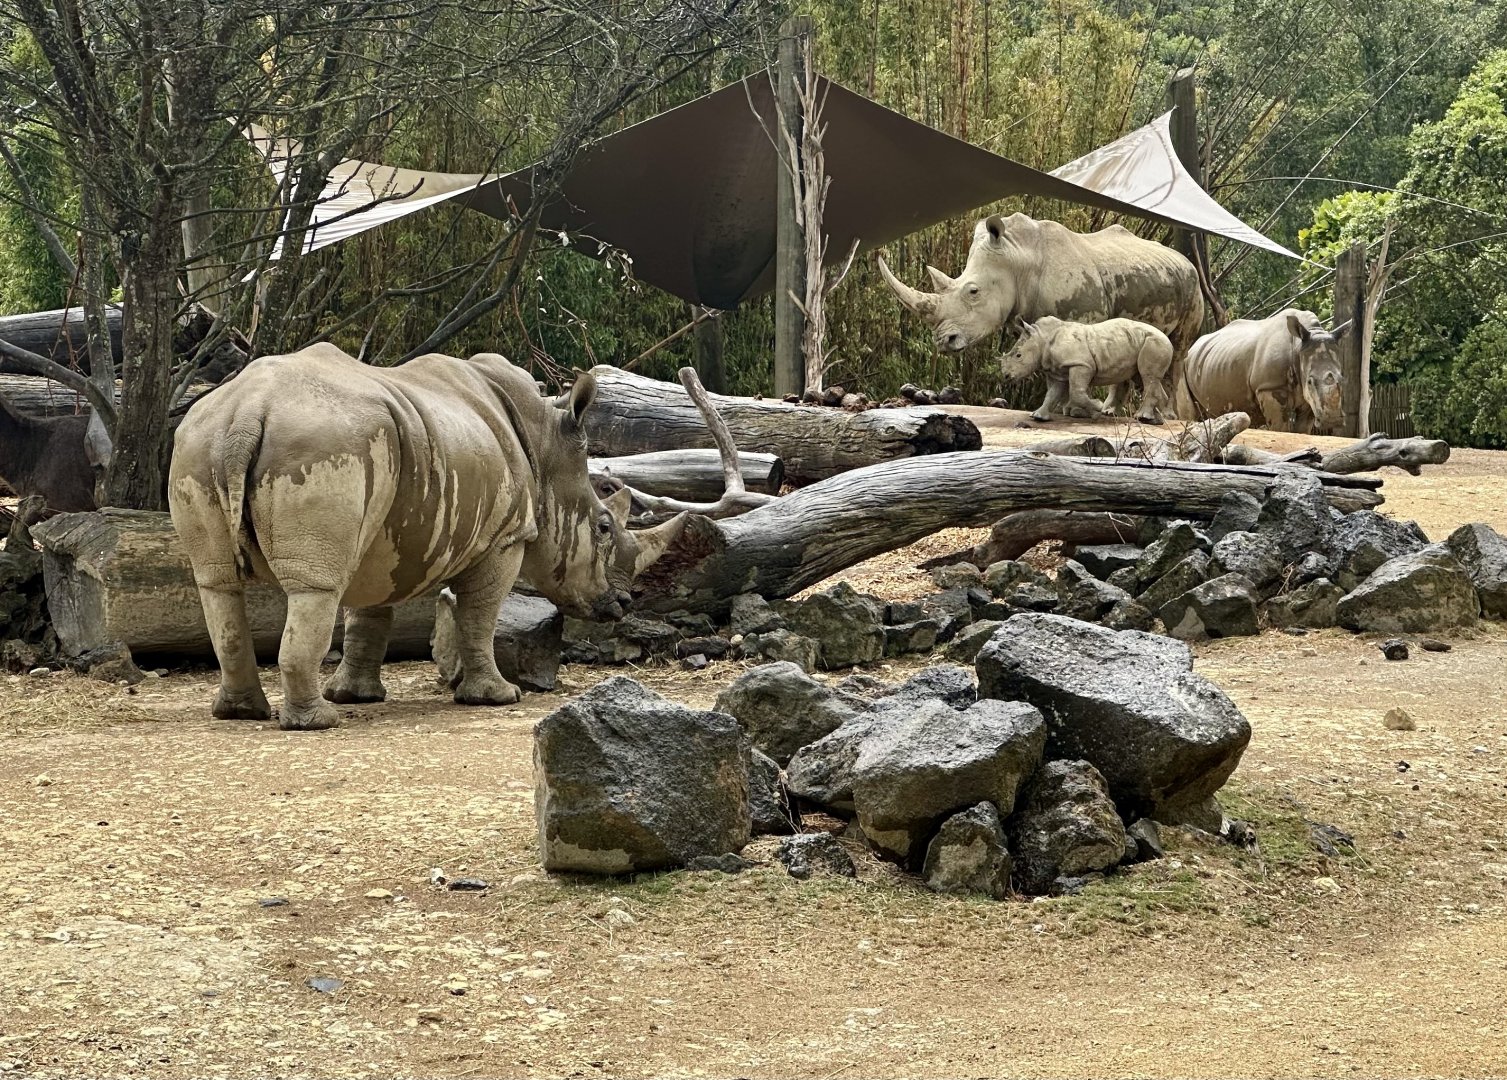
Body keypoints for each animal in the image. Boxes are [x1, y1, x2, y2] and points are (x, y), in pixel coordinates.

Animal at [168, 343, 684, 731]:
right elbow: (479, 615)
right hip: (322, 444)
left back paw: (241, 713)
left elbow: (368, 614)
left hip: (200, 440)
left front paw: (358, 696)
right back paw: (317, 722)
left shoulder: (381, 533)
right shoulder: (506, 537)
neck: (546, 447)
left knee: (218, 585)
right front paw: (499, 697)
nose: (624, 604)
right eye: (603, 527)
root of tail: (248, 410)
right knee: (316, 587)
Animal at [878, 212, 1204, 371]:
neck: (1019, 258)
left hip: (1193, 284)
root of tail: (1184, 260)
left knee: (1179, 347)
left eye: (973, 292)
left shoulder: (1084, 318)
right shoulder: (1024, 318)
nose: (942, 342)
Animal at [1000, 316, 1173, 424]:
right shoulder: (1058, 371)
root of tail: (1167, 338)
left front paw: (1097, 407)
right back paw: (1155, 420)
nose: (1006, 376)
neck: (1042, 339)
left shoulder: (1081, 364)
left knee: (1148, 376)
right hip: (1141, 342)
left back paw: (1143, 417)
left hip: (1154, 342)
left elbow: (1076, 392)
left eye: (1018, 355)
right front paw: (1038, 417)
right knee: (1143, 378)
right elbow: (1052, 394)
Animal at [1177, 309, 1349, 432]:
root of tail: (1193, 346)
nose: (1333, 420)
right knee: (1190, 413)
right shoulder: (1270, 387)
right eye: (1310, 381)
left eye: (1342, 379)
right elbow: (1281, 429)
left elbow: (1302, 430)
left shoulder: (1308, 401)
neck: (1298, 346)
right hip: (1184, 365)